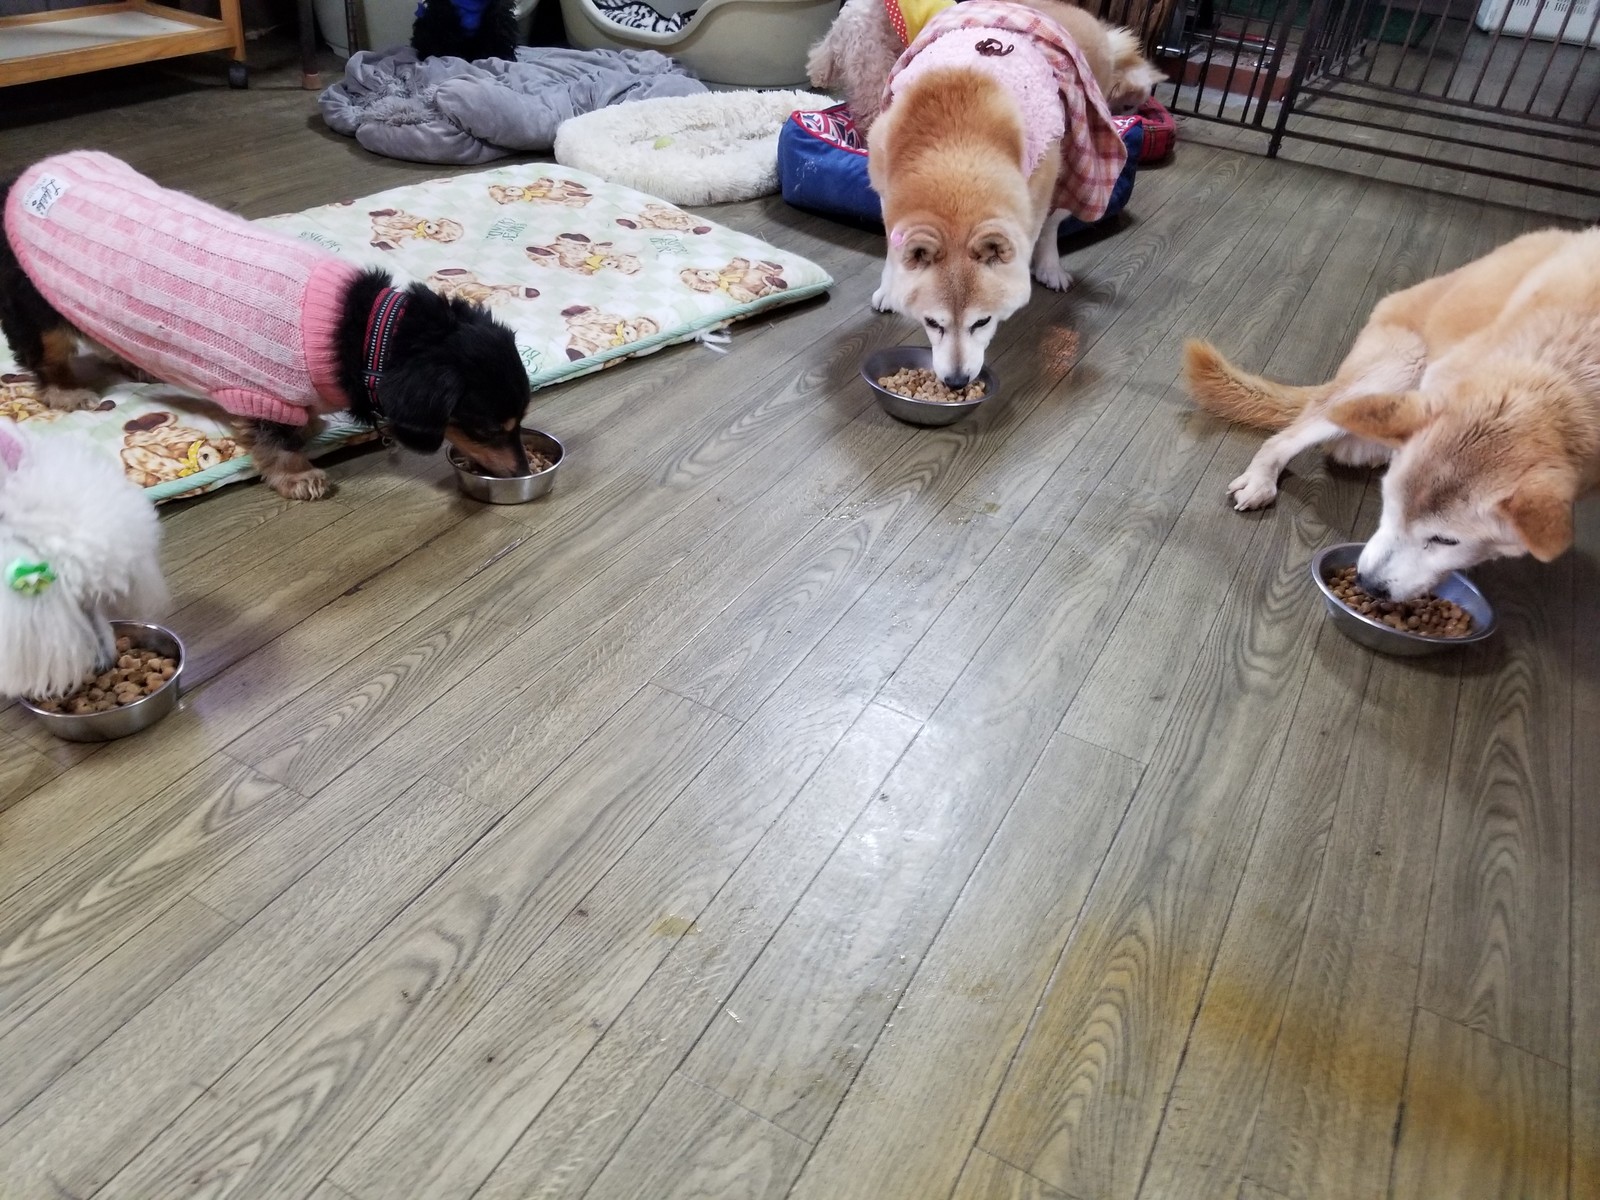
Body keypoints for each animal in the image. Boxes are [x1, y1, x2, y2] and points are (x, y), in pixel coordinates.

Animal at [1, 152, 532, 501]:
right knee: (45, 354)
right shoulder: (261, 395)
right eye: (488, 429)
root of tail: (25, 176)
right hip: (37, 303)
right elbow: (276, 443)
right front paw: (299, 475)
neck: (363, 333)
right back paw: (66, 392)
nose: (521, 470)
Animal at [867, 0, 1129, 389]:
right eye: (932, 323)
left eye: (982, 322)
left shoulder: (1037, 189)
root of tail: (1070, 11)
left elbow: (1035, 231)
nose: (957, 381)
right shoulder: (885, 182)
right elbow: (891, 247)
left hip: (1074, 155)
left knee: (1054, 223)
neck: (956, 145)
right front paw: (890, 287)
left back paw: (1050, 266)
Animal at [1184, 226, 1600, 600]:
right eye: (1389, 502)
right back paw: (1262, 478)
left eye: (1446, 539)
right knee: (1288, 435)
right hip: (1399, 367)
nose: (1367, 585)